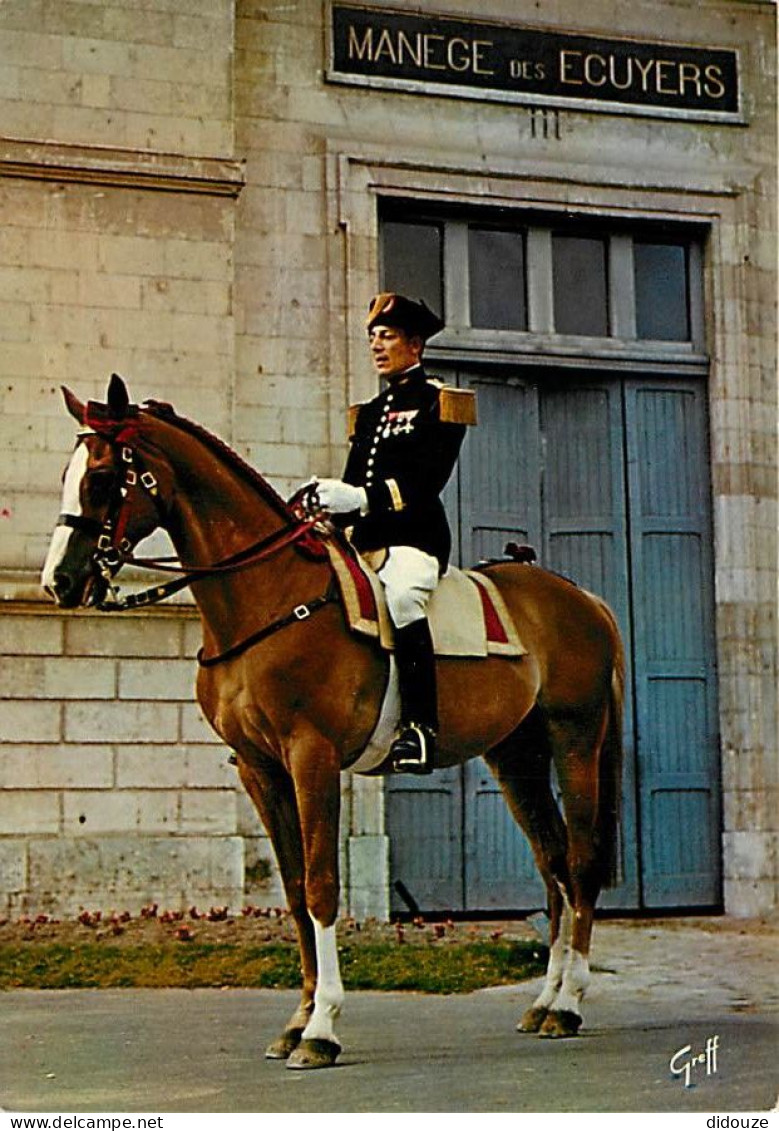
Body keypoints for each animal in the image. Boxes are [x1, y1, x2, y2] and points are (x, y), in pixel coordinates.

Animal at [42, 377, 624, 1067]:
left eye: (104, 477)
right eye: (67, 473)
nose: (59, 582)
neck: (269, 597)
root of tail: (580, 597)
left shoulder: (310, 757)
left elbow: (322, 885)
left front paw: (321, 1028)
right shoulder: (259, 768)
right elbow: (295, 891)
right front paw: (298, 1019)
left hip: (574, 743)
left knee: (580, 861)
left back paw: (569, 1001)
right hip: (516, 758)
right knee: (552, 863)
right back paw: (545, 1001)